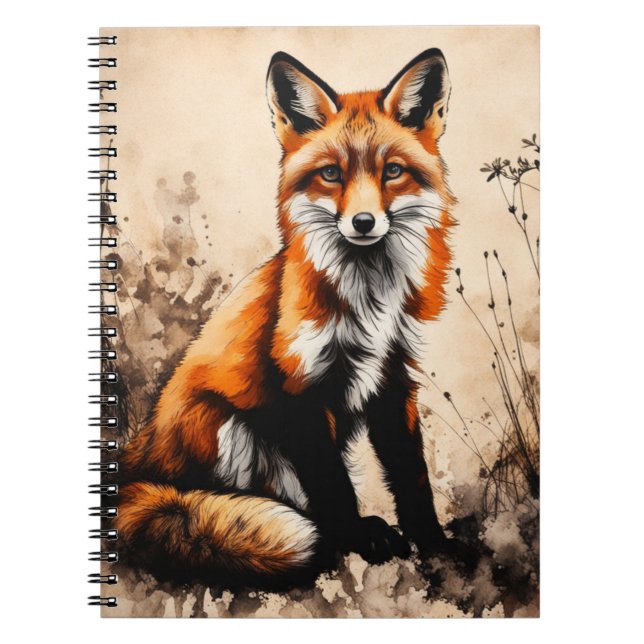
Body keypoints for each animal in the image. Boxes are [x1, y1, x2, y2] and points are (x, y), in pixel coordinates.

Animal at [116, 48, 466, 586]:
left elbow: (412, 477)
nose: (363, 222)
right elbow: (332, 486)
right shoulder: (296, 385)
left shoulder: (393, 378)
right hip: (226, 427)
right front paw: (354, 540)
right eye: (331, 175)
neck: (369, 303)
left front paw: (435, 547)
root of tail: (135, 464)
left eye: (391, 171)